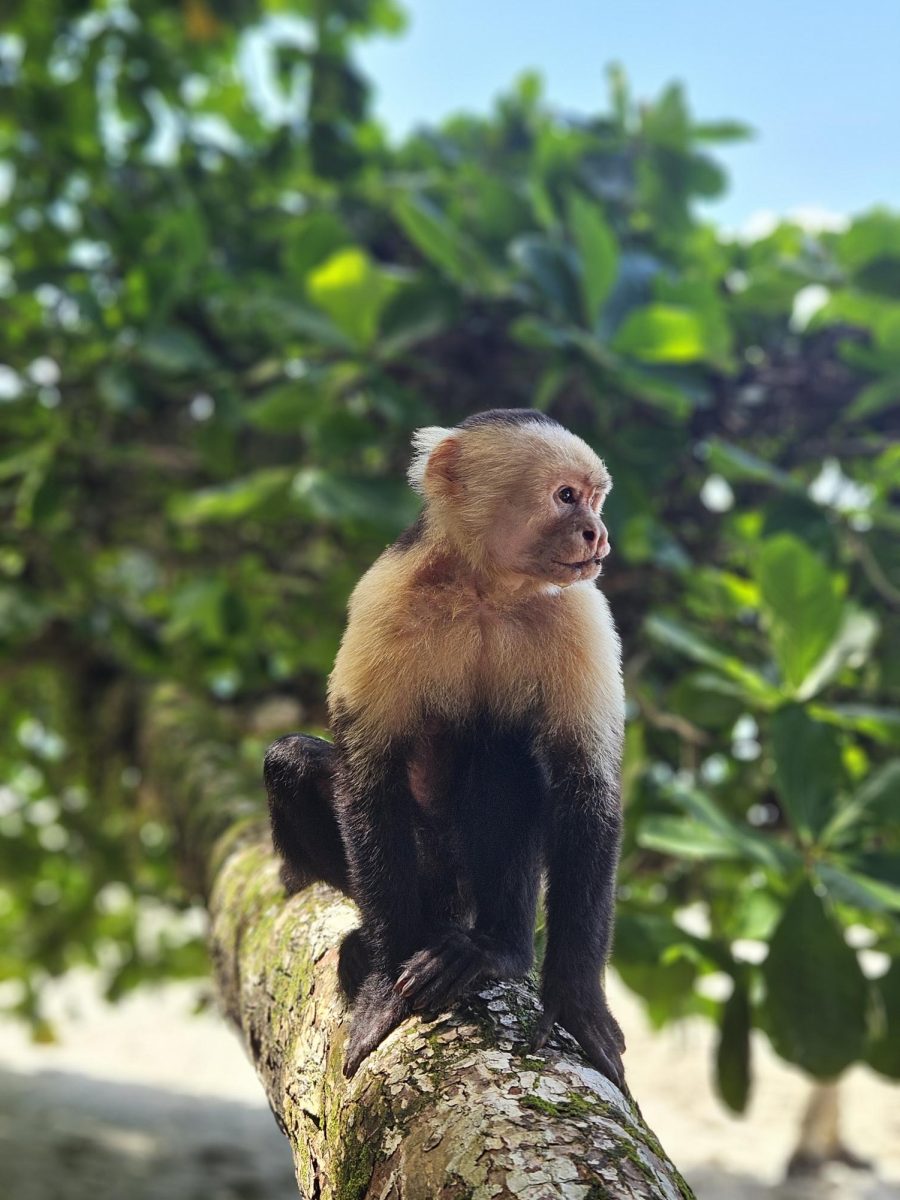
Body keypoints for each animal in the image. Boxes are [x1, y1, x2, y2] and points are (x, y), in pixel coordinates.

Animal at [264, 408, 624, 1084]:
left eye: (594, 499)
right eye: (566, 497)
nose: (597, 534)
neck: (488, 590)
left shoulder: (583, 617)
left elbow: (587, 787)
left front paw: (577, 1002)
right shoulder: (383, 597)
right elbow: (367, 780)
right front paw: (385, 983)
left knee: (505, 754)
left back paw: (494, 950)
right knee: (291, 764)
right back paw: (389, 940)